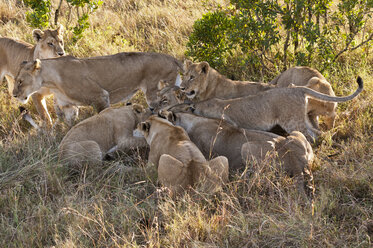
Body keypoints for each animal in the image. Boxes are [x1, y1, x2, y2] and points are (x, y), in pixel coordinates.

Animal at [13, 52, 183, 126]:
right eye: (15, 80)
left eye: (20, 81)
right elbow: (70, 123)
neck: (51, 81)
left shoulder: (100, 96)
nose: (14, 95)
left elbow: (104, 116)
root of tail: (172, 58)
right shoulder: (68, 106)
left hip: (155, 91)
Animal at [167, 77, 362, 142]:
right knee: (316, 132)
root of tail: (298, 89)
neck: (200, 106)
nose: (166, 112)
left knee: (312, 134)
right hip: (301, 118)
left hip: (292, 122)